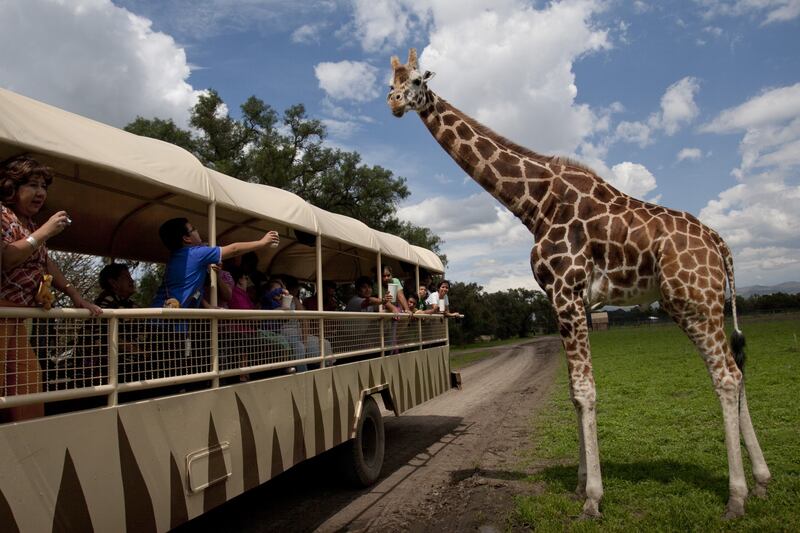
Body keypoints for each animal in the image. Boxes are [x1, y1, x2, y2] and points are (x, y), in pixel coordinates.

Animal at [388, 48, 768, 516]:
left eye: (418, 80)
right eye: (391, 81)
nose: (394, 103)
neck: (534, 204)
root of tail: (719, 243)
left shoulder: (566, 289)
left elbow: (586, 391)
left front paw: (593, 498)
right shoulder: (565, 298)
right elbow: (573, 390)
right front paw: (579, 484)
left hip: (693, 300)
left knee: (727, 376)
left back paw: (737, 496)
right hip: (701, 303)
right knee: (736, 370)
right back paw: (762, 481)